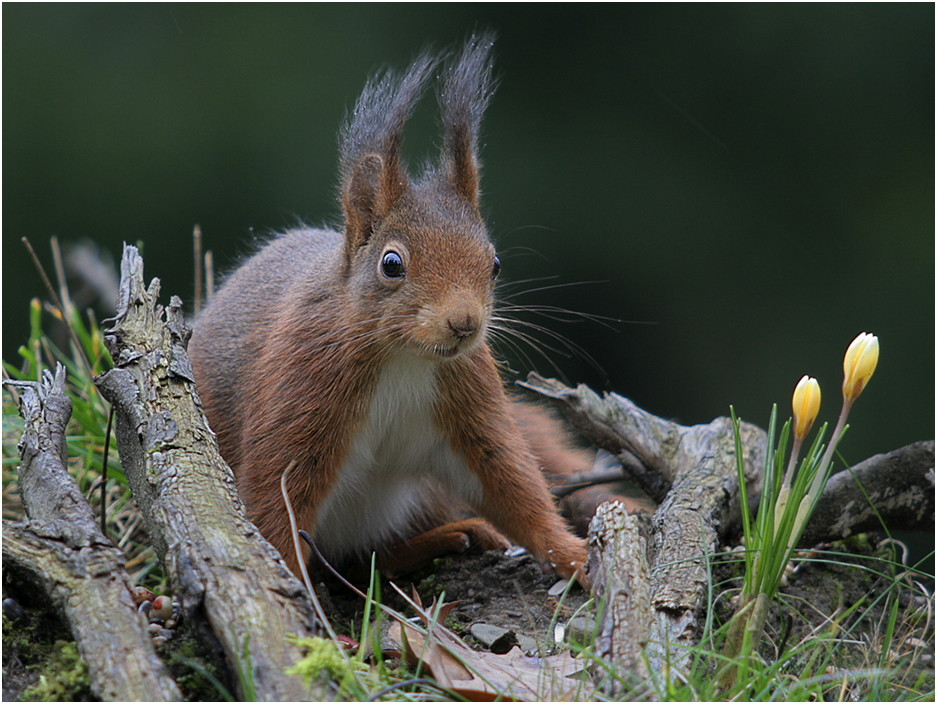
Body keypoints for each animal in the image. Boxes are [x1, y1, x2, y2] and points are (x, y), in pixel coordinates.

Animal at [186, 37, 588, 584]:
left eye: (495, 263)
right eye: (391, 264)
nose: (464, 323)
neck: (403, 358)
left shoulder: (469, 404)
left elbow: (512, 484)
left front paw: (574, 554)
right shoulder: (301, 393)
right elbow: (277, 498)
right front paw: (284, 586)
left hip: (420, 498)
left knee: (374, 558)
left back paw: (458, 534)